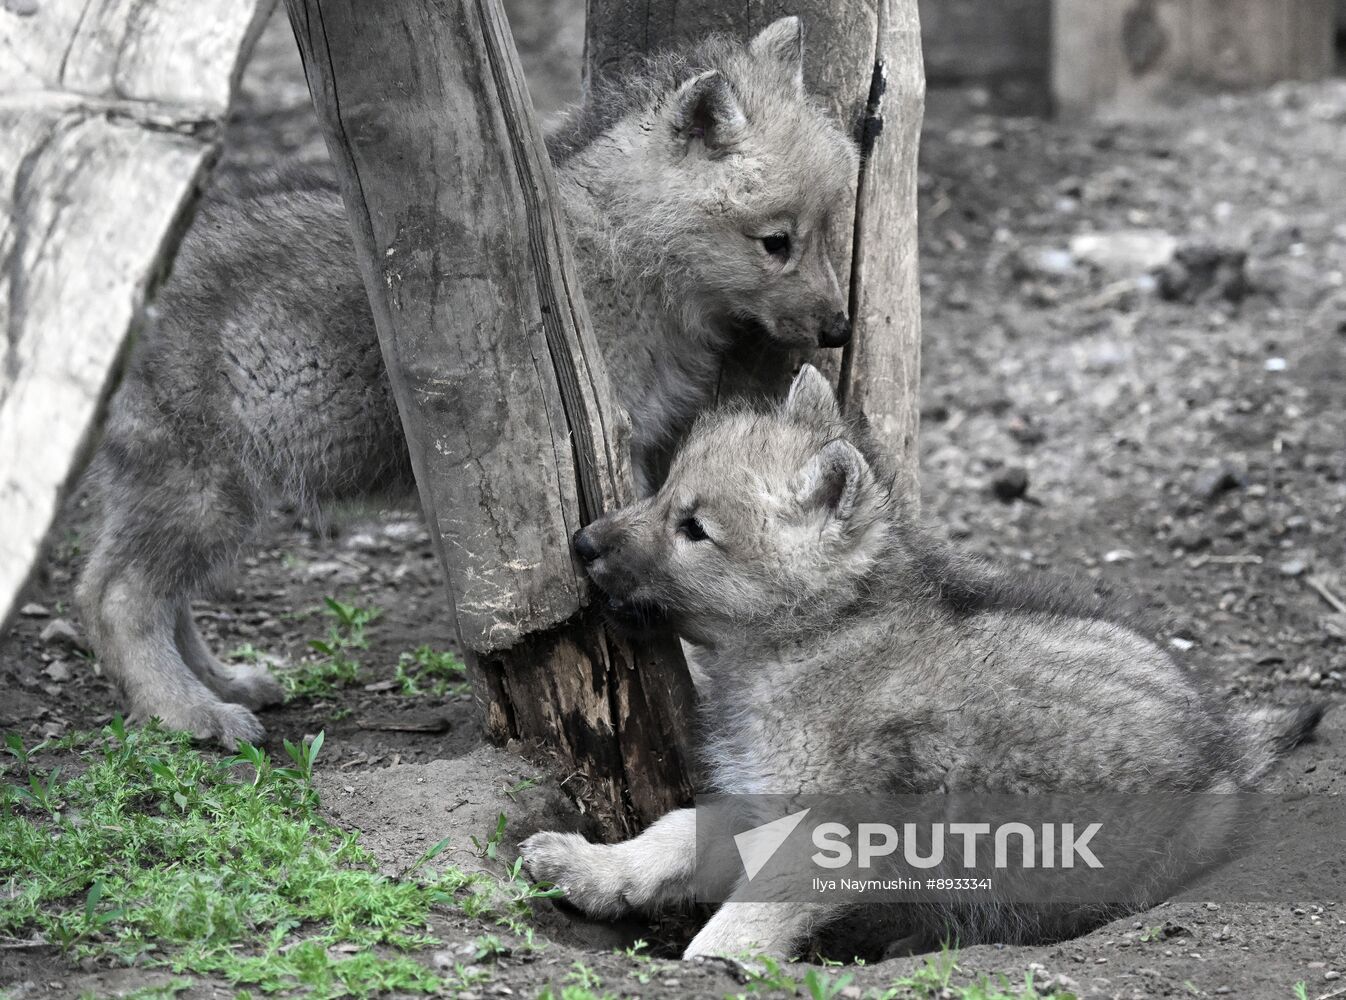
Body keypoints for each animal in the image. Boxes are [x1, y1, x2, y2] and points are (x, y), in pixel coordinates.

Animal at [76, 18, 859, 747]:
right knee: (114, 597)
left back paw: (223, 683)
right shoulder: (614, 443)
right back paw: (189, 713)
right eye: (775, 242)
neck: (626, 250)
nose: (840, 329)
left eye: (827, 227)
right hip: (202, 491)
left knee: (160, 598)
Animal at [520, 365, 1324, 960]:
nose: (583, 543)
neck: (819, 637)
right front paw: (589, 869)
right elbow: (673, 833)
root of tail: (1225, 743)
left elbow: (733, 929)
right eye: (661, 493)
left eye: (695, 529)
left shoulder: (824, 838)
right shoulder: (760, 805)